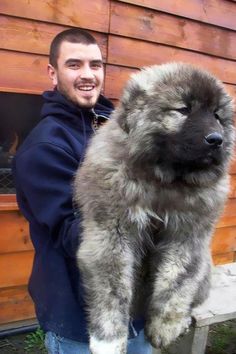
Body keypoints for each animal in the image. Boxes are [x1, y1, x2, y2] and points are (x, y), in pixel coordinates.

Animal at [73, 62, 234, 352]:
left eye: (217, 116)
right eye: (183, 110)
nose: (216, 139)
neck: (165, 179)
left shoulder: (188, 236)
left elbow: (176, 282)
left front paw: (165, 327)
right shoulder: (111, 234)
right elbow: (112, 292)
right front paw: (108, 340)